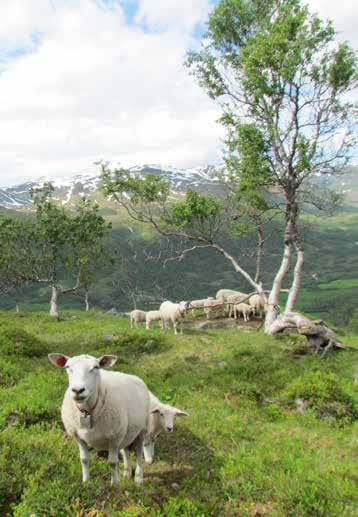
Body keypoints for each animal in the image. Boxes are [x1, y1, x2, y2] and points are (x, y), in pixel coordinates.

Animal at [48, 350, 150, 484]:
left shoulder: (114, 437)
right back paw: (127, 472)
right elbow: (84, 459)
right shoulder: (78, 437)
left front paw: (114, 484)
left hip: (142, 428)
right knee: (125, 450)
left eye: (96, 367)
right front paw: (86, 482)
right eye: (67, 367)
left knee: (138, 452)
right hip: (125, 431)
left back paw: (138, 477)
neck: (87, 411)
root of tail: (134, 377)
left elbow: (112, 462)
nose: (78, 390)